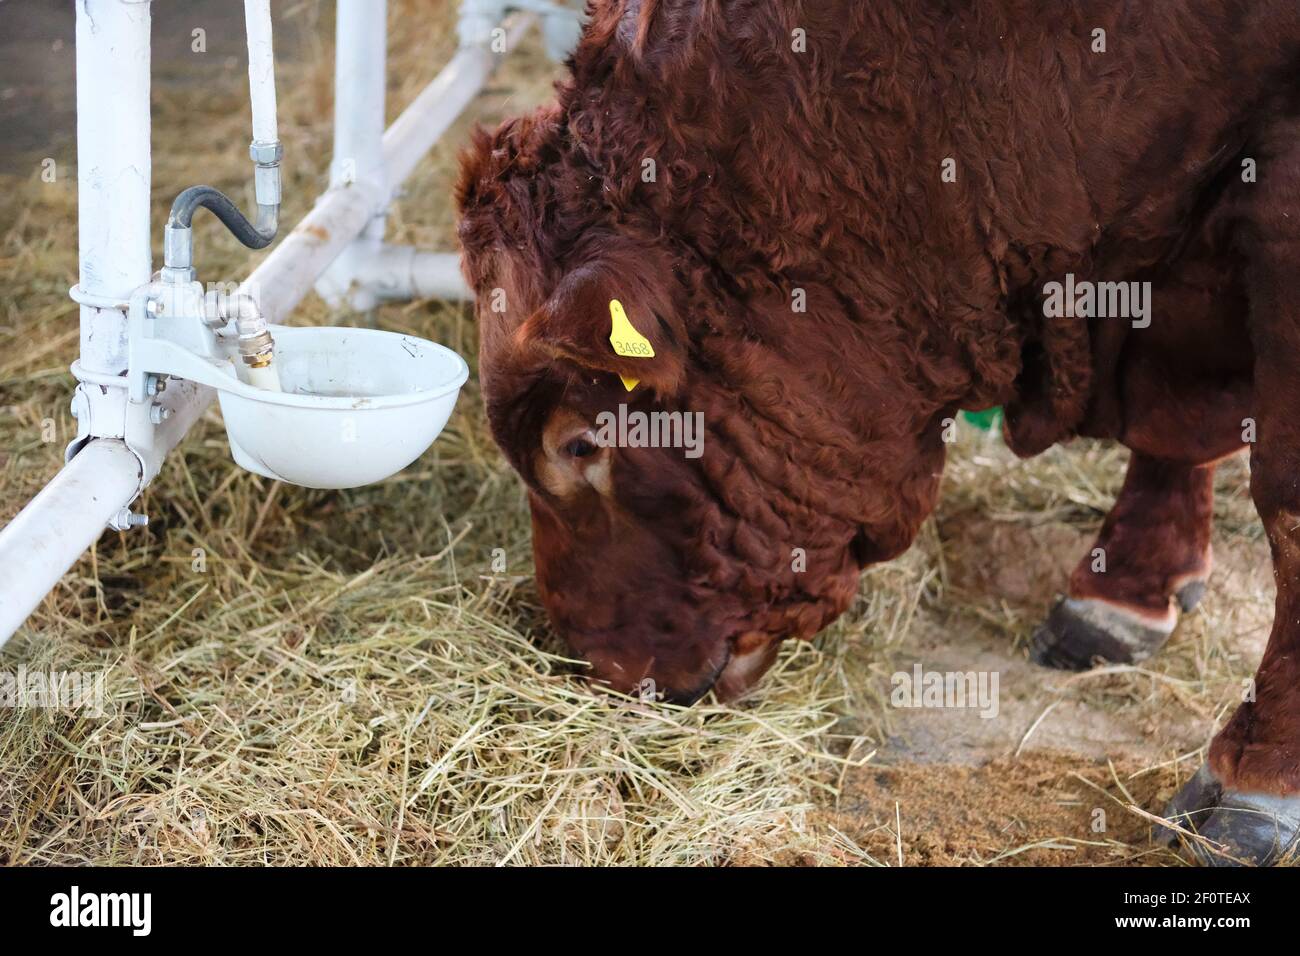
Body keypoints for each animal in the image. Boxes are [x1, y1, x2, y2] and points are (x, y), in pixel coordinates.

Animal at [462, 0, 1300, 868]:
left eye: (579, 443)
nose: (594, 664)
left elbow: (1285, 501)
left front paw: (1259, 772)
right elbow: (1171, 430)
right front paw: (1128, 583)